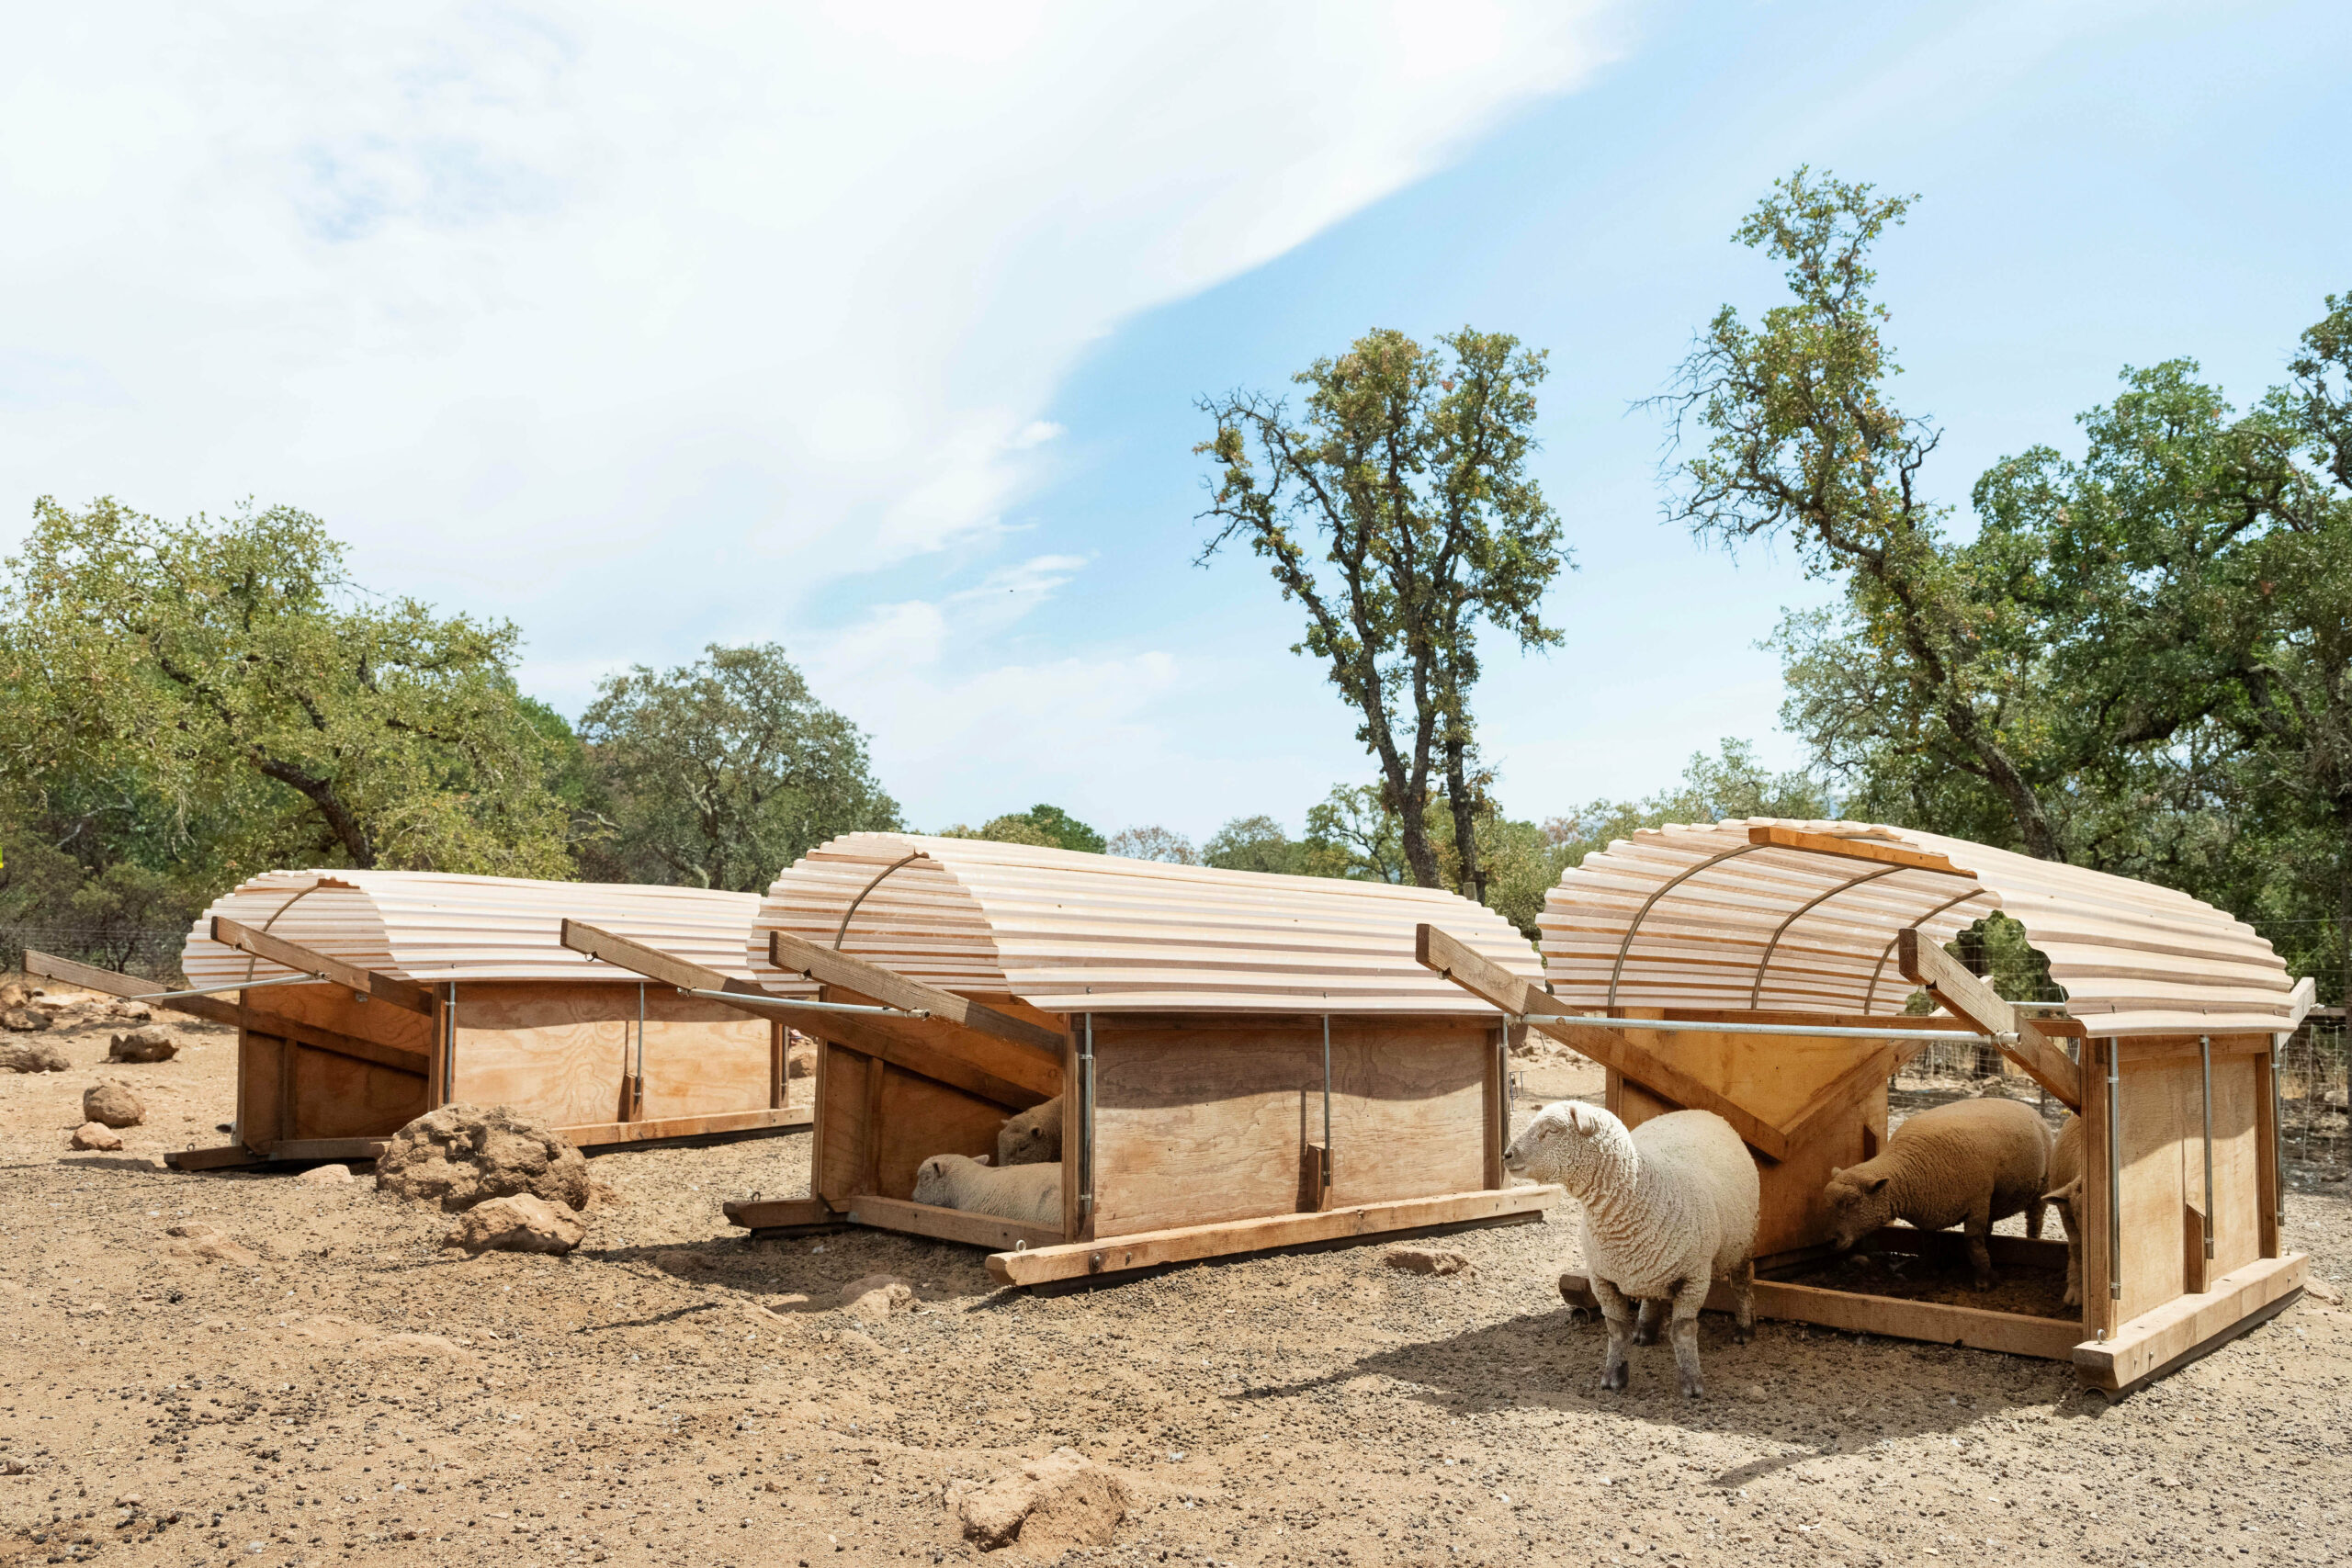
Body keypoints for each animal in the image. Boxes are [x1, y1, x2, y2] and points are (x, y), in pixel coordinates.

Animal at [1505, 1104, 1769, 1401]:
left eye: (1551, 1131)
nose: (1507, 1155)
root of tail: (1700, 1111)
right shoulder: (1601, 1278)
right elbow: (1616, 1330)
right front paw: (1613, 1377)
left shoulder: (1695, 1277)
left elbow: (1683, 1330)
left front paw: (1692, 1383)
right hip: (1653, 1265)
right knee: (1652, 1295)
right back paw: (1644, 1331)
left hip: (1743, 1242)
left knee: (1742, 1284)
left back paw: (1745, 1329)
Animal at [1825, 1100, 2051, 1297]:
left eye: (1851, 1203)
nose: (1831, 1241)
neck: (1907, 1169)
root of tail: (2026, 1106)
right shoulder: (1928, 1210)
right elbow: (1929, 1242)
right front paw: (1931, 1269)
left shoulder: (1977, 1202)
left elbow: (1973, 1243)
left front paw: (1984, 1281)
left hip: (2040, 1189)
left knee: (2035, 1220)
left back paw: (2034, 1242)